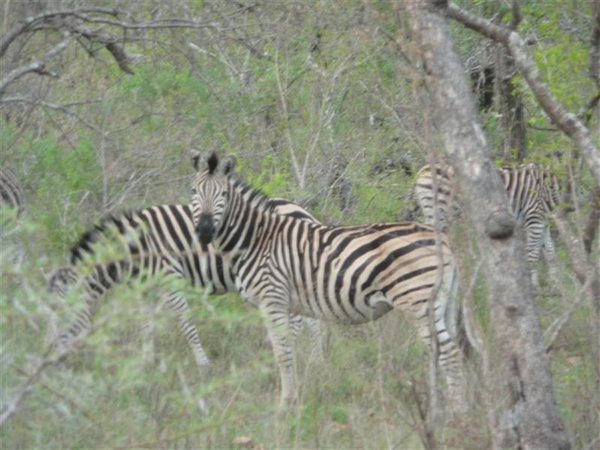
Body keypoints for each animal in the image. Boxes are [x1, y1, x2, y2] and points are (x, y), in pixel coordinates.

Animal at [49, 200, 326, 370]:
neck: (135, 249)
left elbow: (187, 326)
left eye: (62, 316)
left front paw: (203, 365)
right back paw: (316, 359)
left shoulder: (170, 279)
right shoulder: (147, 288)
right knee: (312, 320)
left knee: (299, 320)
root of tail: (302, 210)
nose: (51, 364)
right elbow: (146, 326)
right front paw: (146, 362)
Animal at [190, 153, 466, 414]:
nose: (204, 231)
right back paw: (442, 404)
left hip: (418, 302)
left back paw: (456, 412)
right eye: (193, 191)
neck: (256, 240)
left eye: (224, 194)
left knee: (449, 354)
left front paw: (286, 404)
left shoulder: (272, 299)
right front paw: (296, 393)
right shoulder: (286, 303)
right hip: (442, 303)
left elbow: (282, 353)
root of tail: (443, 240)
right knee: (448, 350)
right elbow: (289, 349)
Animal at [412, 163, 564, 286]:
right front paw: (536, 288)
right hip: (439, 211)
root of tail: (422, 171)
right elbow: (533, 254)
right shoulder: (534, 217)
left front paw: (556, 286)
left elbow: (550, 252)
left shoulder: (543, 221)